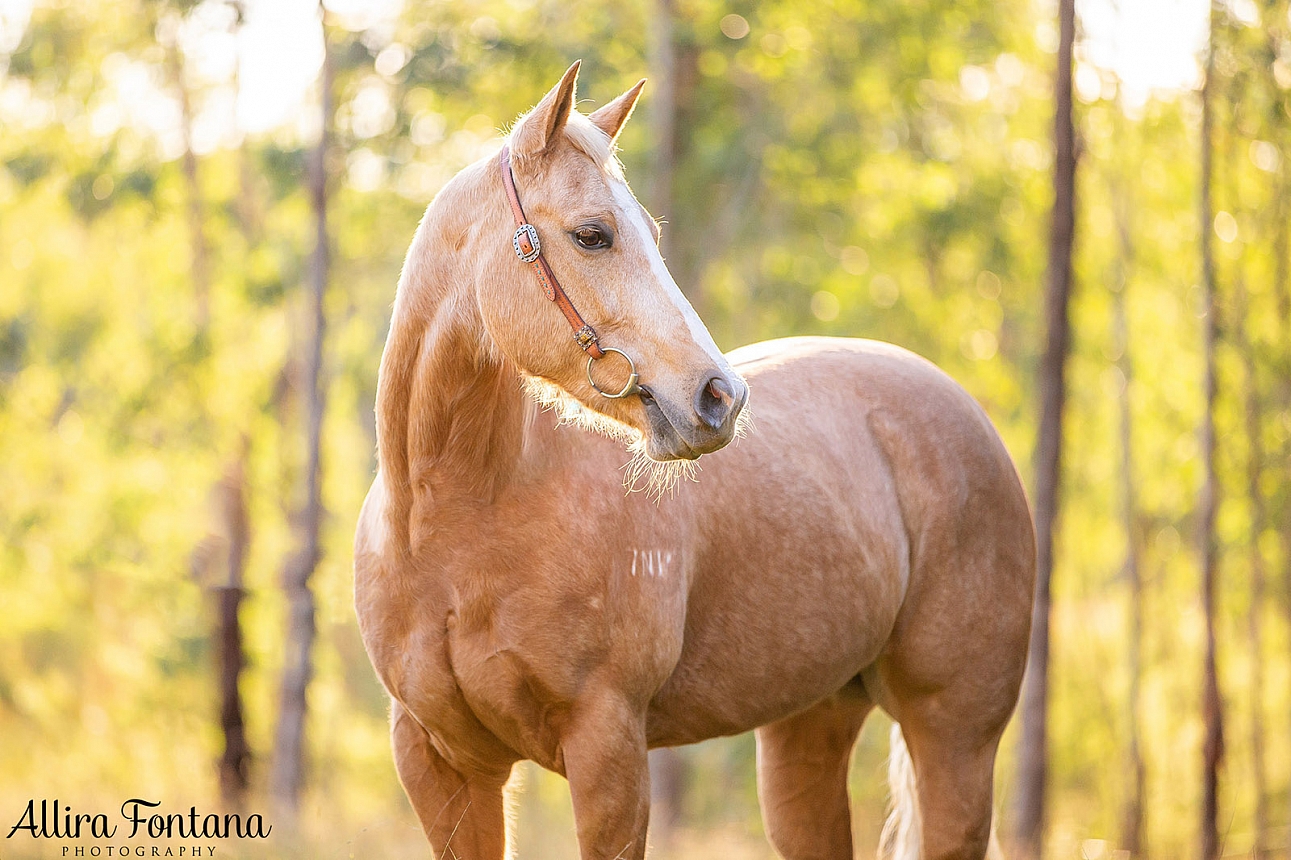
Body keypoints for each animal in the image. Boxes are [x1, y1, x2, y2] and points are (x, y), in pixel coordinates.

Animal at [351, 61, 1027, 857]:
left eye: (650, 231)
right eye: (592, 235)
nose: (719, 398)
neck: (462, 527)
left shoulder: (608, 749)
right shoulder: (441, 764)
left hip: (955, 736)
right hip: (810, 725)